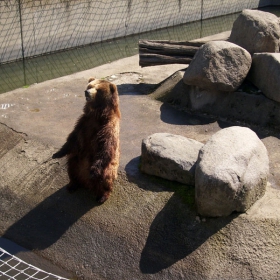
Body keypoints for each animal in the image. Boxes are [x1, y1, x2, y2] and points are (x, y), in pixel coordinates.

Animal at [53, 77, 121, 205]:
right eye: (90, 86)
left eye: (98, 90)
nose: (86, 92)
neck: (97, 115)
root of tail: (87, 184)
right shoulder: (83, 123)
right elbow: (72, 139)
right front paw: (56, 154)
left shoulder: (108, 128)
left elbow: (105, 148)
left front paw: (93, 172)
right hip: (77, 160)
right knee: (72, 167)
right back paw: (73, 185)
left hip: (108, 168)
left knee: (105, 177)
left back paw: (102, 196)